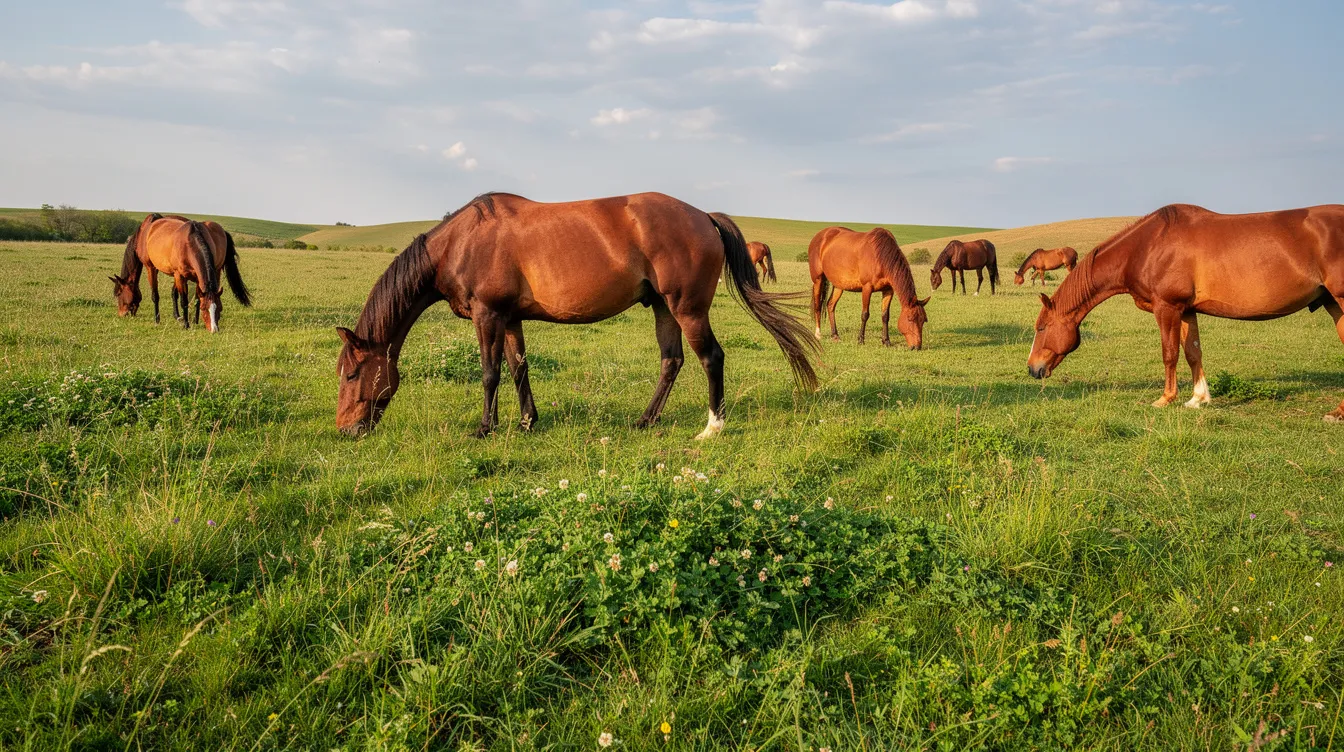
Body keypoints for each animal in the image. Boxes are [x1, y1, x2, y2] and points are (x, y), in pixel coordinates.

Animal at [111, 214, 251, 331]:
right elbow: (183, 300)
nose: (214, 329)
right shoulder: (178, 275)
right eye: (118, 294)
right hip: (154, 269)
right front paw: (186, 324)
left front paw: (194, 321)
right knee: (158, 295)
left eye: (220, 308)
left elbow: (196, 299)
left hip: (215, 270)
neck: (189, 242)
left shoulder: (196, 277)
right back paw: (159, 319)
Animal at [335, 192, 818, 439]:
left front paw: (484, 428)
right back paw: (646, 420)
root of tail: (703, 215)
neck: (461, 241)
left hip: (687, 308)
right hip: (664, 307)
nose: (345, 430)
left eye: (352, 374)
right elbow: (518, 368)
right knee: (672, 361)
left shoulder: (487, 315)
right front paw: (527, 422)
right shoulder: (509, 318)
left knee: (710, 358)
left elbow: (490, 373)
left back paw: (712, 427)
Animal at [1027, 203, 1344, 421]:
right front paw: (1198, 399)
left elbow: (1170, 353)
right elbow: (1193, 352)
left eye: (1041, 328)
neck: (1146, 247)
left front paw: (1166, 398)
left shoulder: (1167, 308)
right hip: (1333, 305)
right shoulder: (1186, 311)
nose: (1032, 369)